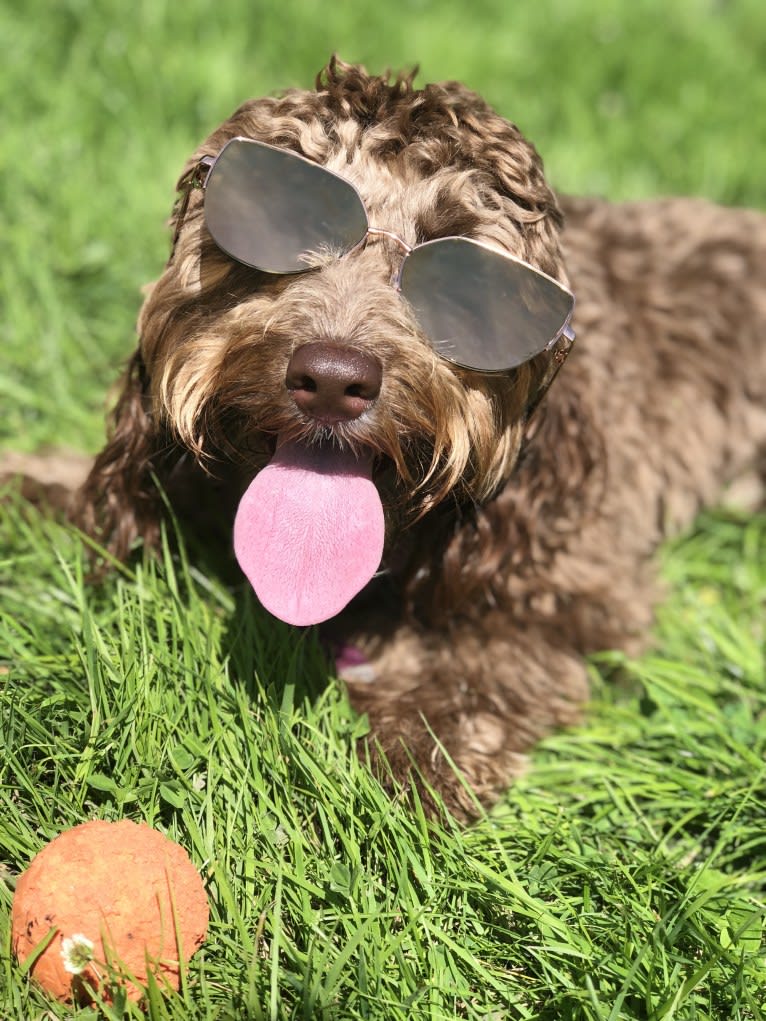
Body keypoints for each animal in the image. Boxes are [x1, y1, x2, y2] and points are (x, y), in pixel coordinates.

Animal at [52, 61, 766, 812]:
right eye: (279, 219)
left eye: (470, 285)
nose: (332, 379)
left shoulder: (567, 585)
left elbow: (487, 666)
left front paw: (414, 757)